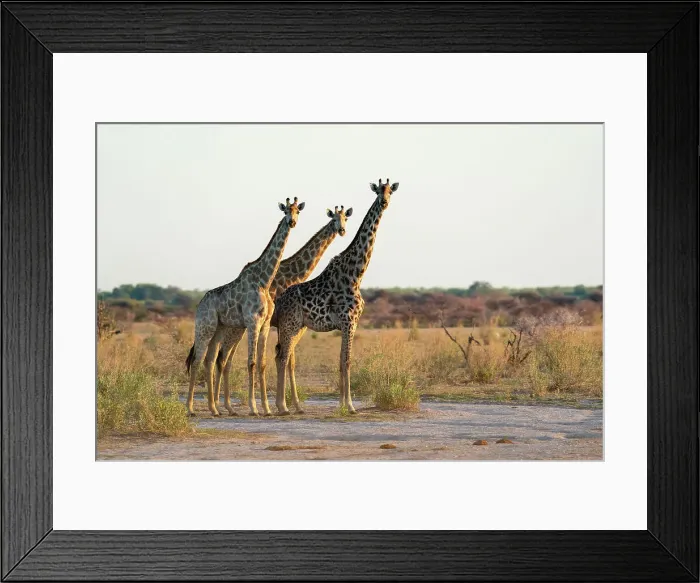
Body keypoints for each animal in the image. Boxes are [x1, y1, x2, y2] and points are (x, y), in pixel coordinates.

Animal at [185, 197, 304, 417]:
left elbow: (262, 363)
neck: (264, 281)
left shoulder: (265, 324)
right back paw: (190, 409)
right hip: (205, 327)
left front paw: (267, 408)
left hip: (219, 329)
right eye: (285, 211)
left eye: (297, 211)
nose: (292, 222)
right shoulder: (252, 322)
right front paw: (254, 408)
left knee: (209, 360)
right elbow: (251, 362)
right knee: (197, 360)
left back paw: (214, 409)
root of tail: (200, 304)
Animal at [211, 205, 353, 415]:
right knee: (221, 357)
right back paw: (220, 405)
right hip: (236, 328)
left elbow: (288, 361)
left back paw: (223, 406)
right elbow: (283, 359)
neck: (292, 275)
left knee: (223, 358)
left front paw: (294, 406)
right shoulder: (283, 324)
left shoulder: (288, 325)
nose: (342, 230)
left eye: (345, 218)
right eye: (335, 219)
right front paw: (281, 405)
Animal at [273, 179, 398, 415]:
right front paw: (350, 405)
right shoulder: (349, 321)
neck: (356, 274)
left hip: (297, 326)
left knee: (281, 356)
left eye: (390, 191)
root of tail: (280, 301)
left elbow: (341, 360)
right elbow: (347, 361)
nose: (384, 202)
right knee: (282, 357)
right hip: (289, 324)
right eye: (378, 191)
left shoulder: (347, 324)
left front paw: (341, 404)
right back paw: (282, 406)